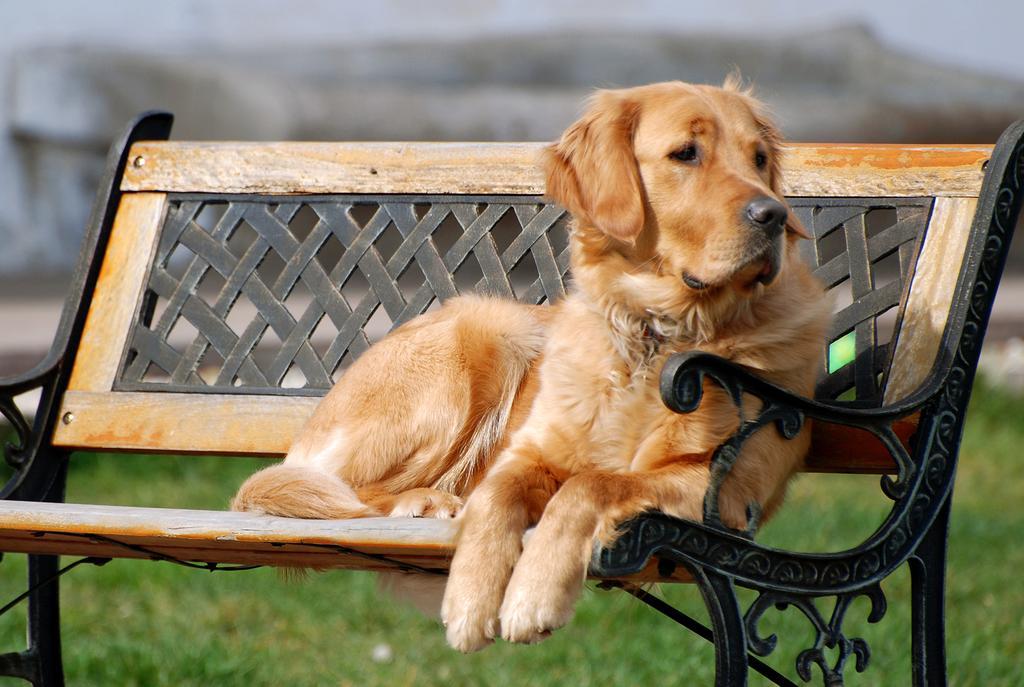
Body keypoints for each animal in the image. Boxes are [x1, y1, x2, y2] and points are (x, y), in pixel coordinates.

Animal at [234, 77, 831, 651]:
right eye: (686, 153)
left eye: (758, 158)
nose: (773, 214)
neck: (653, 336)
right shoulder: (526, 455)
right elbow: (499, 501)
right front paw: (471, 601)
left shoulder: (723, 489)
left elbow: (591, 485)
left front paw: (534, 594)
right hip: (486, 334)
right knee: (348, 486)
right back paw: (422, 500)